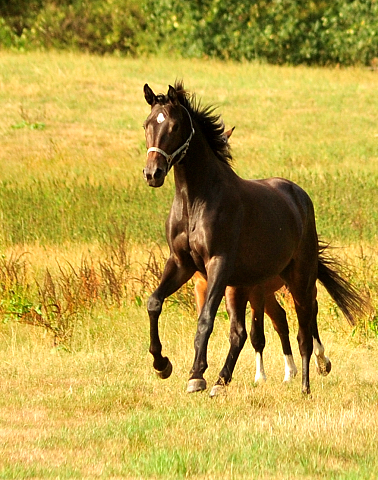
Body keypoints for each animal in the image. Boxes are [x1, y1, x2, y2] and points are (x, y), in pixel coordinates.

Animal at [142, 80, 366, 396]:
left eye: (174, 126)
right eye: (147, 124)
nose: (153, 173)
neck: (196, 201)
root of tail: (299, 196)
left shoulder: (218, 265)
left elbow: (205, 321)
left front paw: (195, 375)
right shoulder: (182, 264)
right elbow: (154, 303)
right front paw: (162, 365)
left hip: (299, 279)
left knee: (304, 330)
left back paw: (305, 384)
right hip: (244, 286)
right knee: (243, 332)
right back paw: (222, 381)